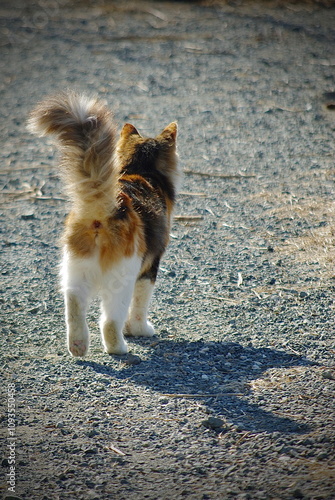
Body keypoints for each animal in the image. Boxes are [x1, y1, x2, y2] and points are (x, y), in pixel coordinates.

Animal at [28, 92, 181, 358]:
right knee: (109, 321)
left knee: (74, 307)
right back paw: (118, 347)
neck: (141, 172)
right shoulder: (149, 268)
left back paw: (78, 346)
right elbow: (139, 305)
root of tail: (105, 208)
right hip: (121, 278)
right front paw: (139, 330)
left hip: (75, 271)